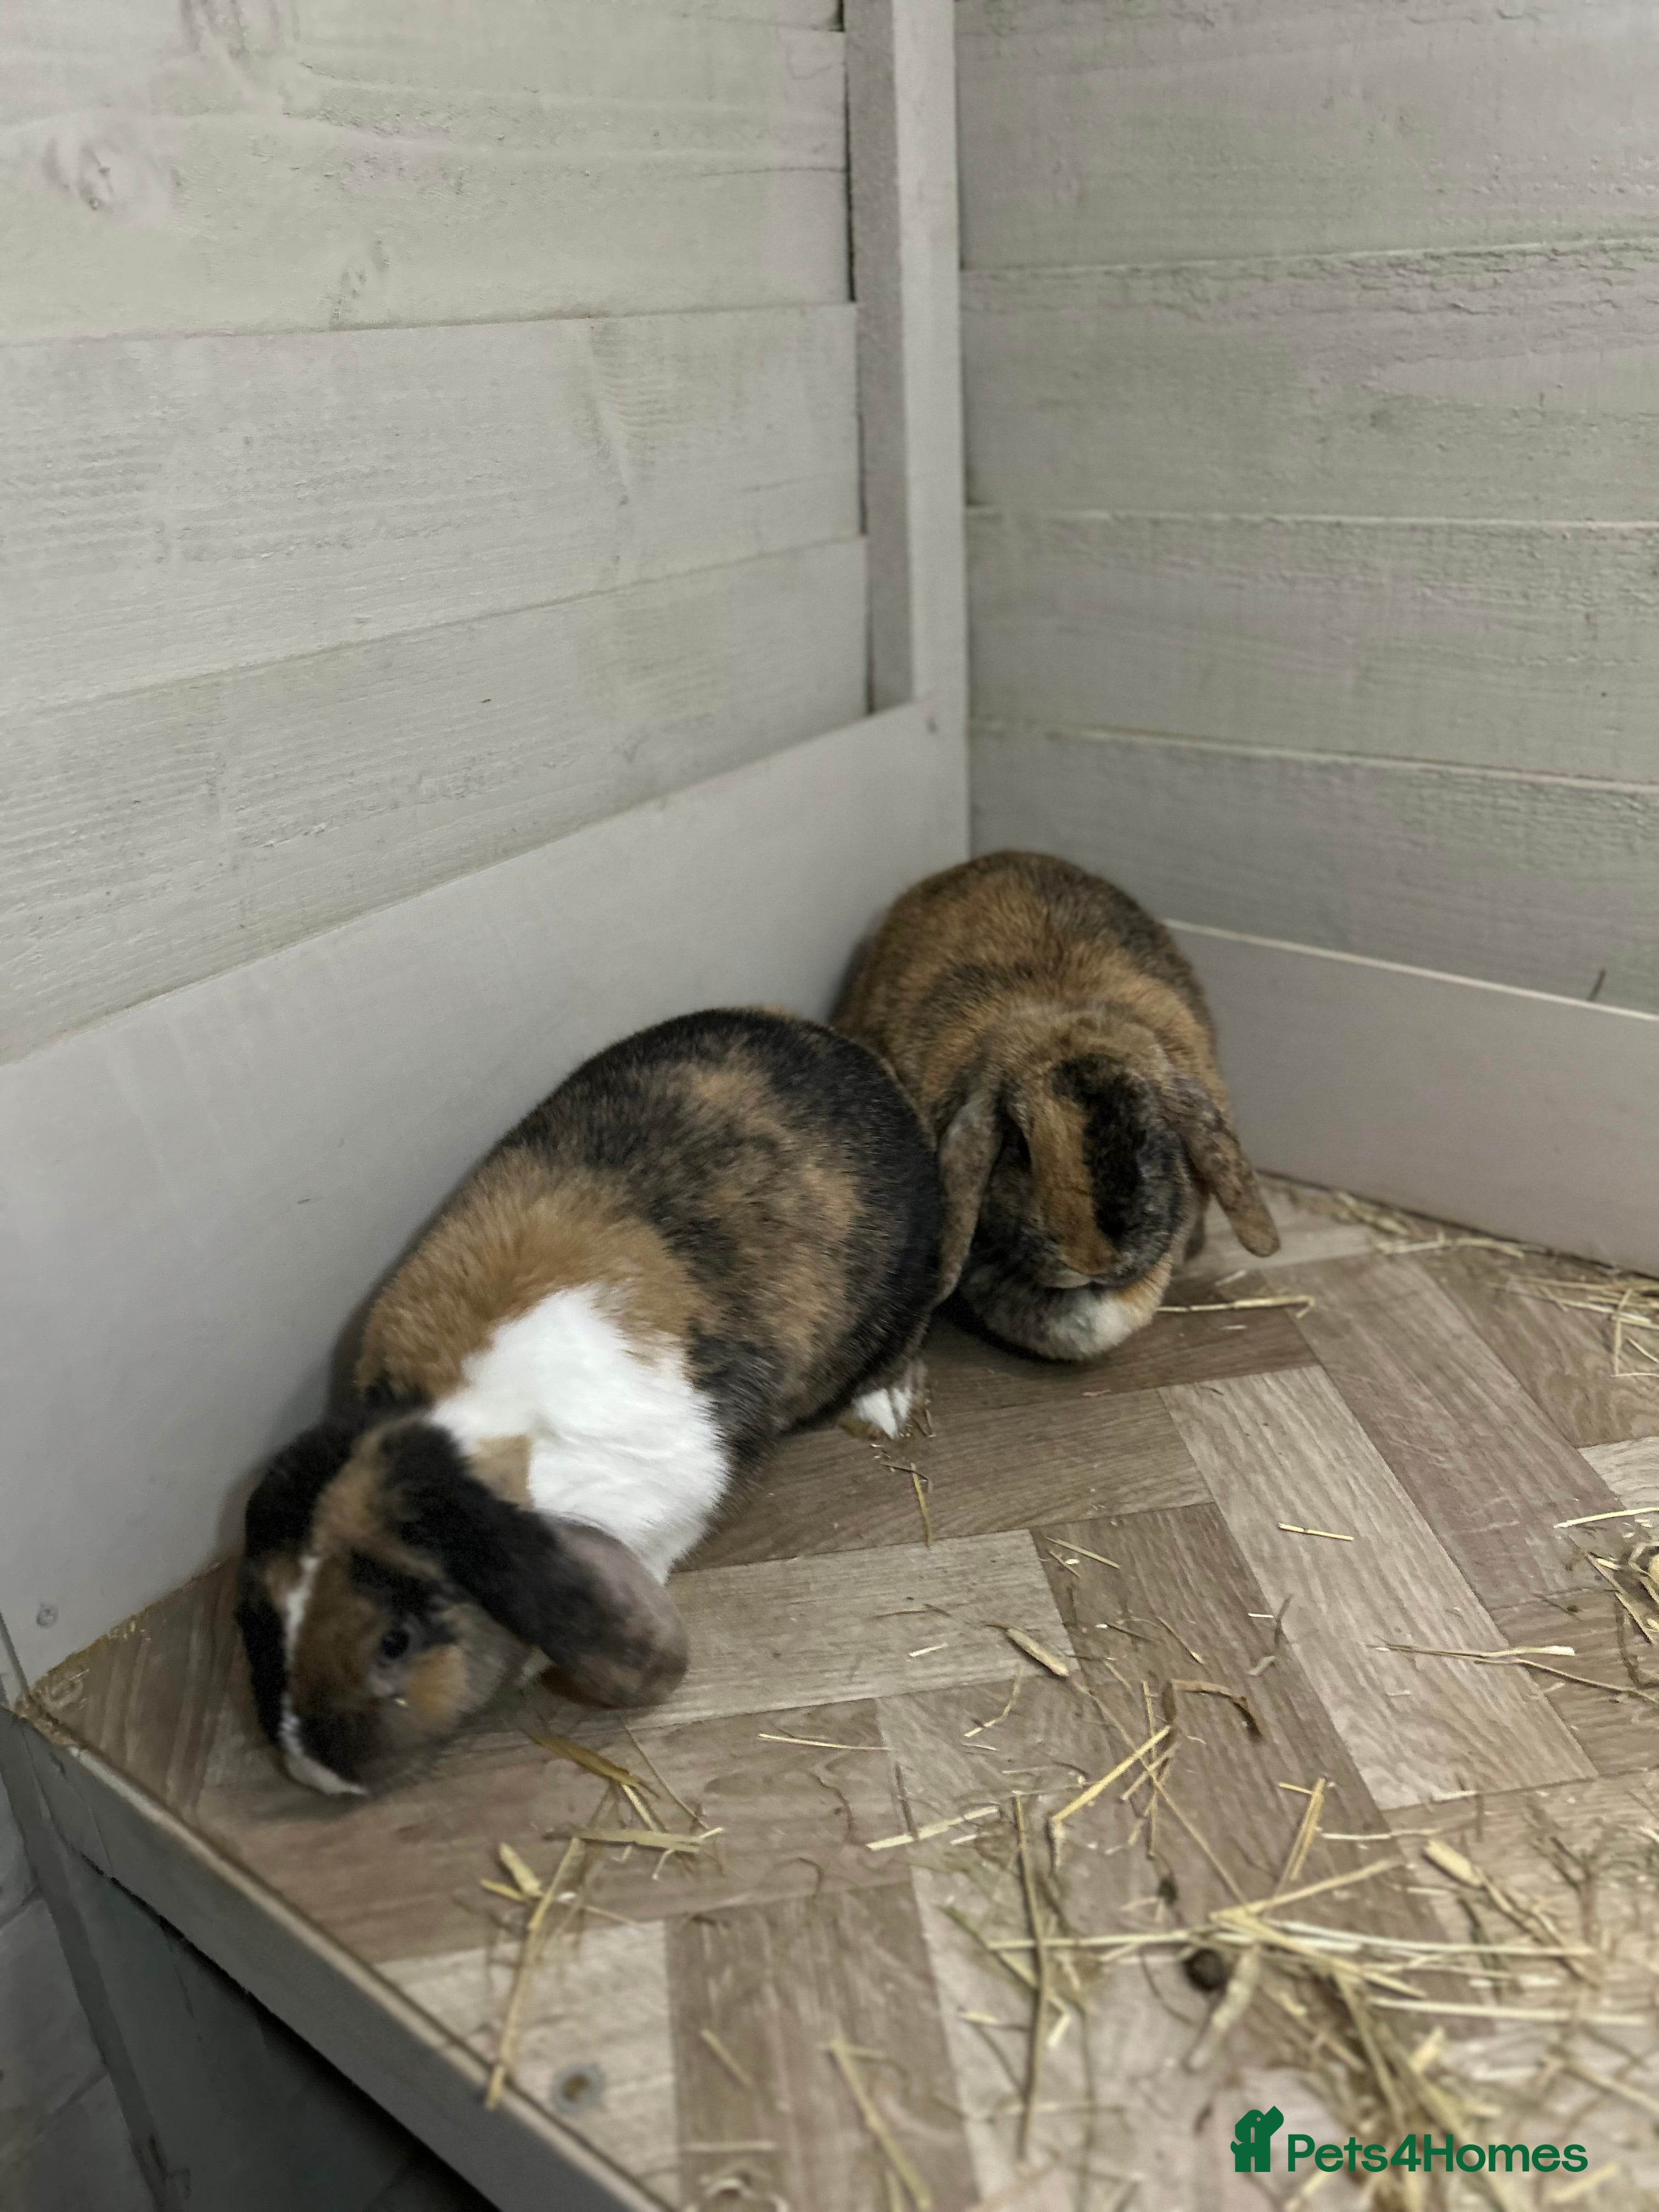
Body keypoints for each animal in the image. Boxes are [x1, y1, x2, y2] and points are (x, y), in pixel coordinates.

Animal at [237, 1008, 942, 1796]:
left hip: (905, 1296)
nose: (314, 1773)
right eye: (261, 1616)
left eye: (396, 1640)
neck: (467, 1421)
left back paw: (881, 1409)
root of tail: (855, 1053)